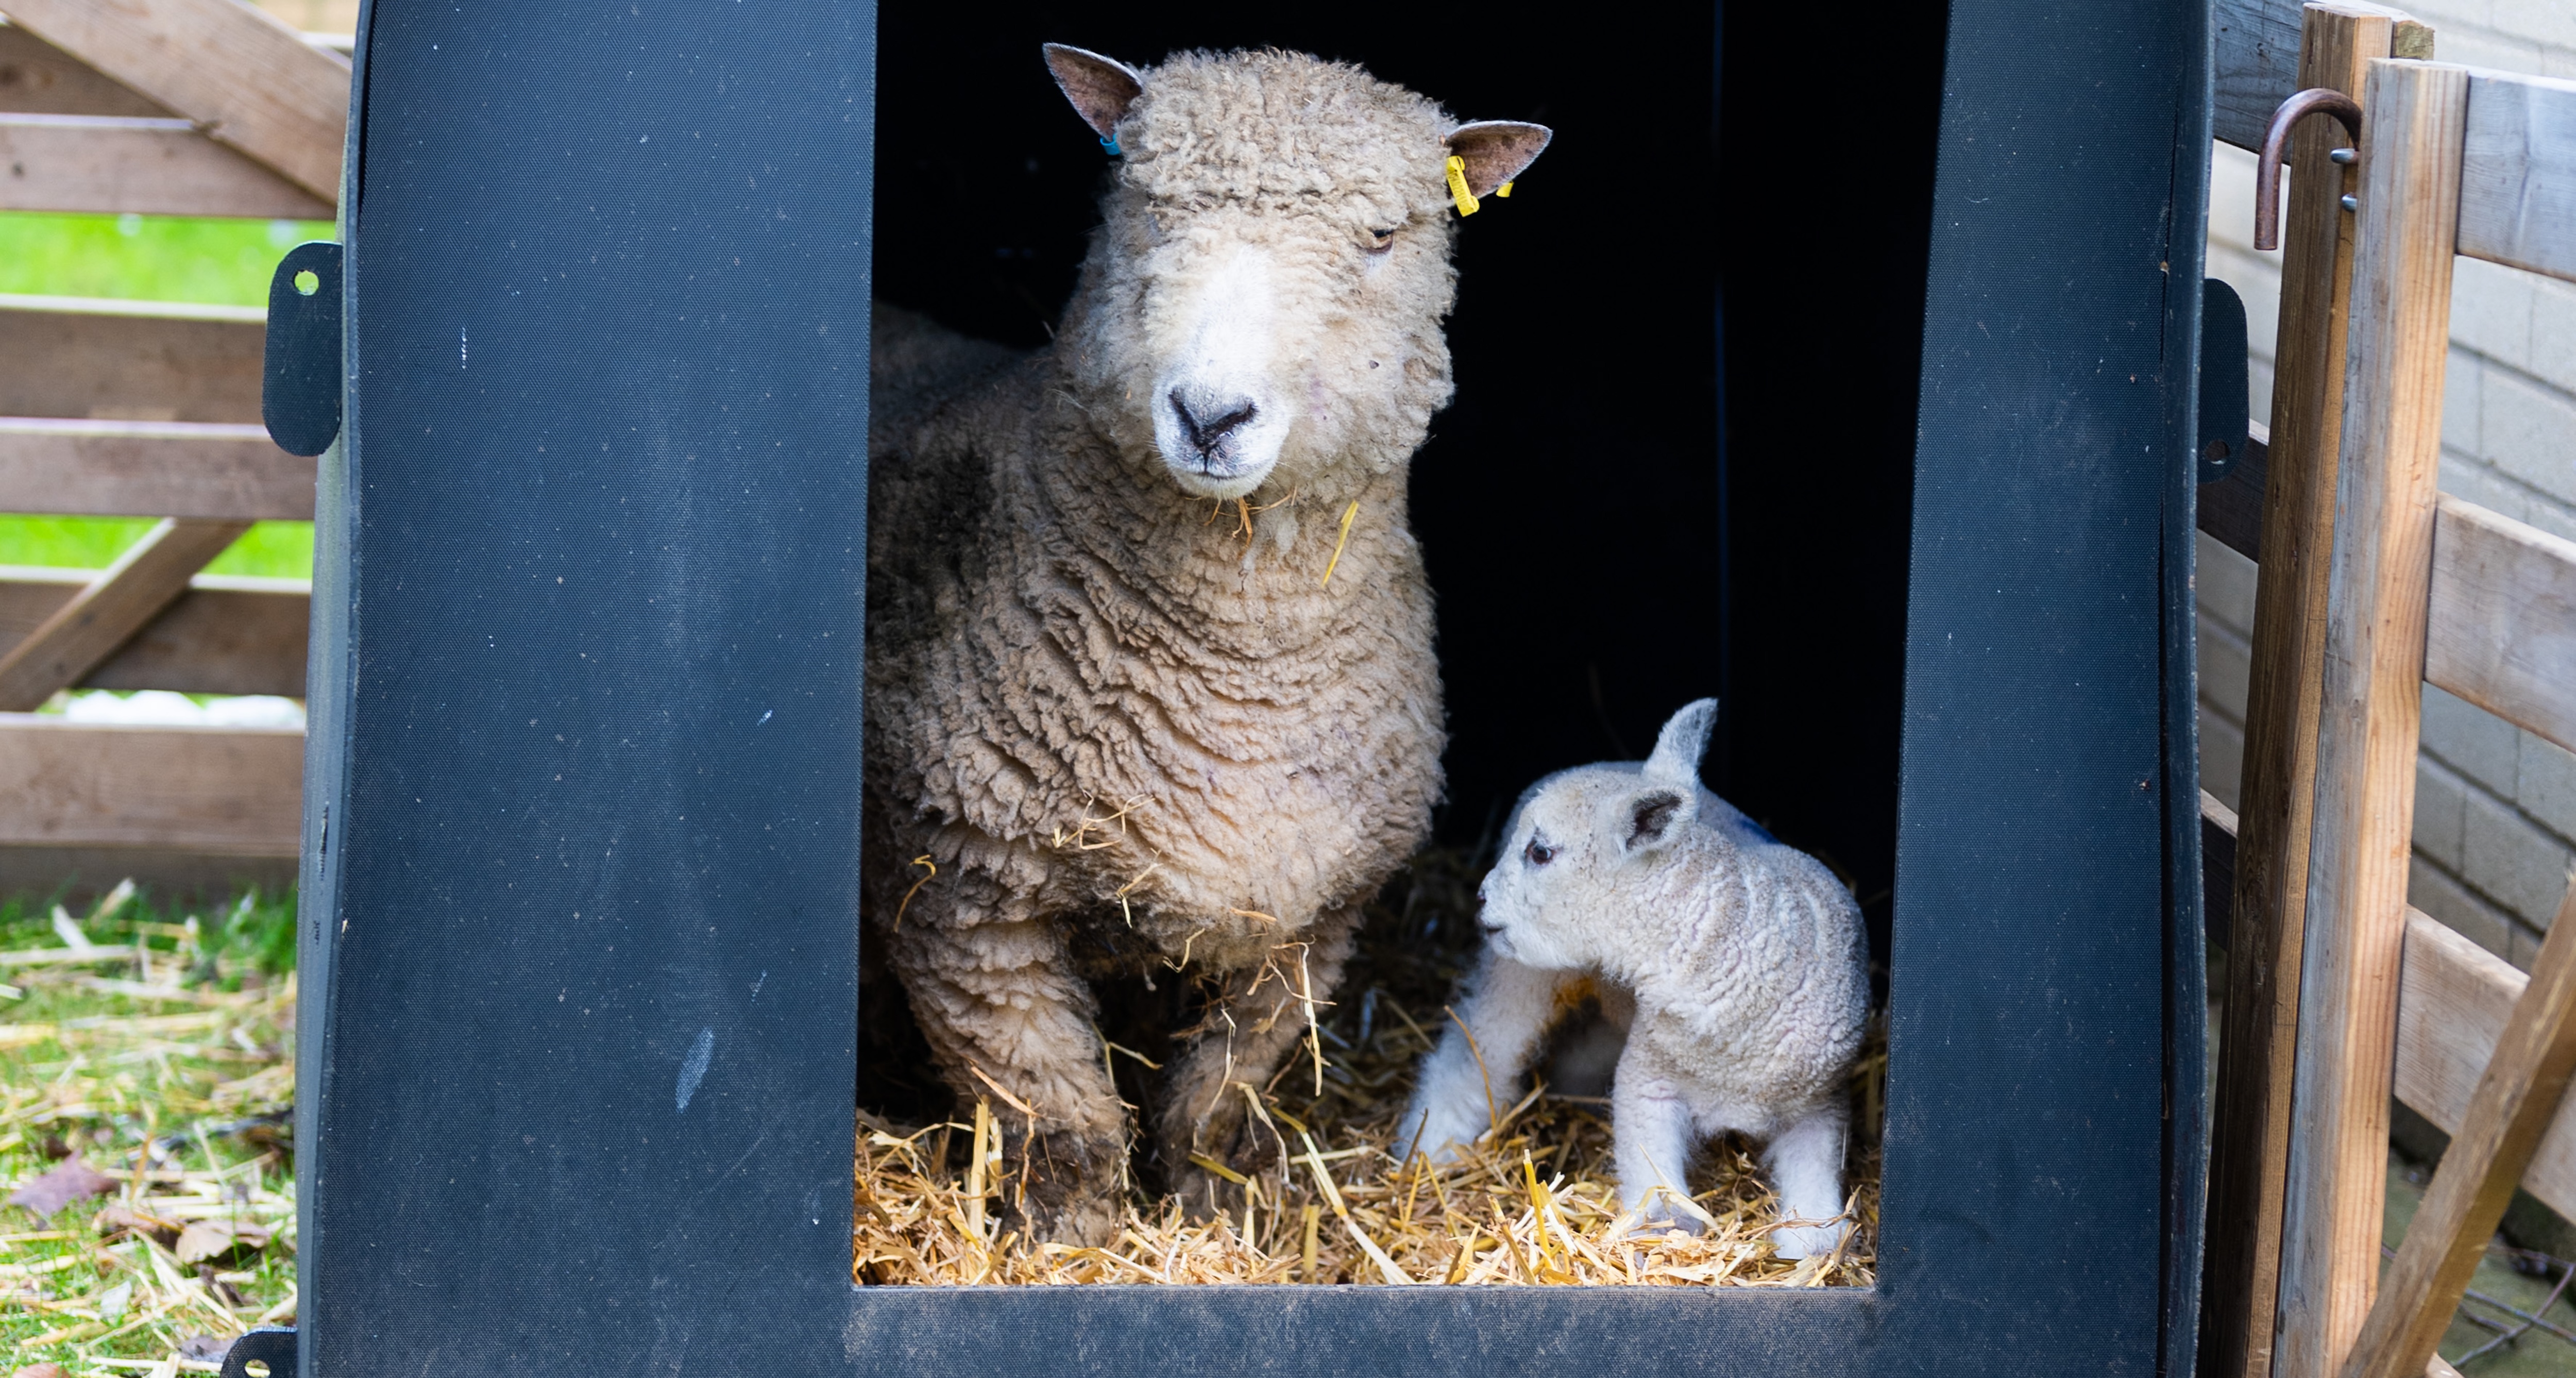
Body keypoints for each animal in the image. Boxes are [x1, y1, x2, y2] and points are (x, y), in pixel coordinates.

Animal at [861, 43, 1551, 1245]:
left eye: (1383, 233)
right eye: (1146, 200)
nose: (1211, 414)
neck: (1240, 683)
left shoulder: (1312, 914)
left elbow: (1224, 1085)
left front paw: (1227, 1202)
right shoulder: (965, 898)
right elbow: (1050, 1104)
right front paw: (1069, 1231)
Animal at [1394, 700, 1870, 1259]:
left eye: (1540, 852)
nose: (1482, 897)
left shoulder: (1820, 1101)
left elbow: (1816, 1188)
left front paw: (1809, 1249)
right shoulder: (1649, 1080)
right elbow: (1656, 1182)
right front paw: (1664, 1235)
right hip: (1517, 971)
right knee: (1478, 1054)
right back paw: (1432, 1144)